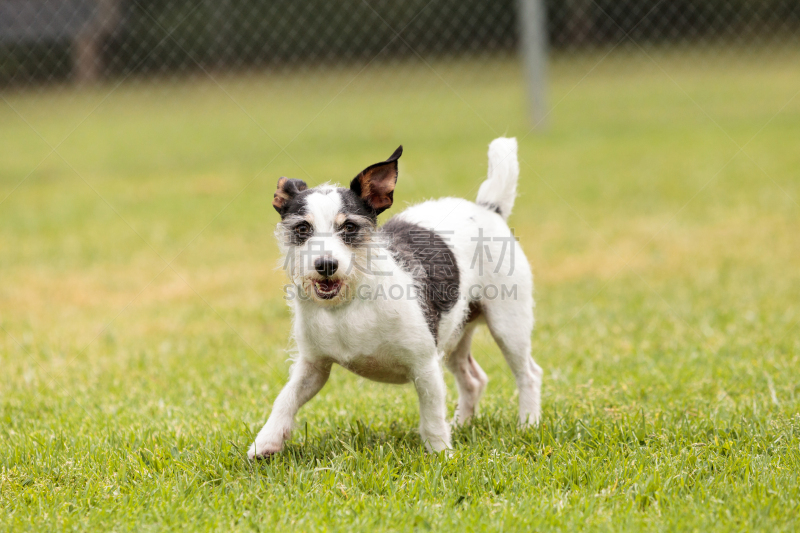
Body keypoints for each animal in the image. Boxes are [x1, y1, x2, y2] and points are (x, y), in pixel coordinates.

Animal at [247, 137, 540, 458]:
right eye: (302, 228)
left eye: (349, 227)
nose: (326, 265)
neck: (348, 304)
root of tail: (489, 208)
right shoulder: (313, 366)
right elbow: (285, 398)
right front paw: (266, 442)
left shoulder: (425, 366)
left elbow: (432, 416)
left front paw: (441, 454)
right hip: (455, 334)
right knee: (473, 379)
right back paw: (462, 424)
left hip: (508, 326)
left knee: (528, 374)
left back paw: (528, 424)